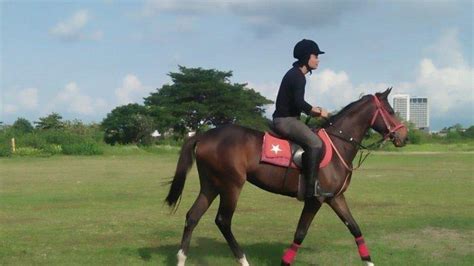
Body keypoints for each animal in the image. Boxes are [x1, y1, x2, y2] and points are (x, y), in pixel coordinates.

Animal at [165, 87, 406, 264]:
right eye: (391, 111)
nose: (404, 136)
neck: (338, 143)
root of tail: (204, 135)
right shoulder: (315, 200)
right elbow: (300, 233)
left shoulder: (336, 198)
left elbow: (355, 228)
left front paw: (369, 260)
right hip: (231, 185)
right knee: (223, 221)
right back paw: (243, 260)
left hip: (211, 185)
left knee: (192, 216)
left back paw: (181, 259)